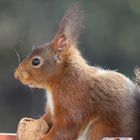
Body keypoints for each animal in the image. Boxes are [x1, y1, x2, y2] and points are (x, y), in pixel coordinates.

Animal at [14, 3, 140, 140]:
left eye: (35, 61)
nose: (16, 75)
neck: (63, 76)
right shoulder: (52, 110)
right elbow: (47, 119)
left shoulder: (72, 102)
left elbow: (64, 129)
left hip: (100, 130)